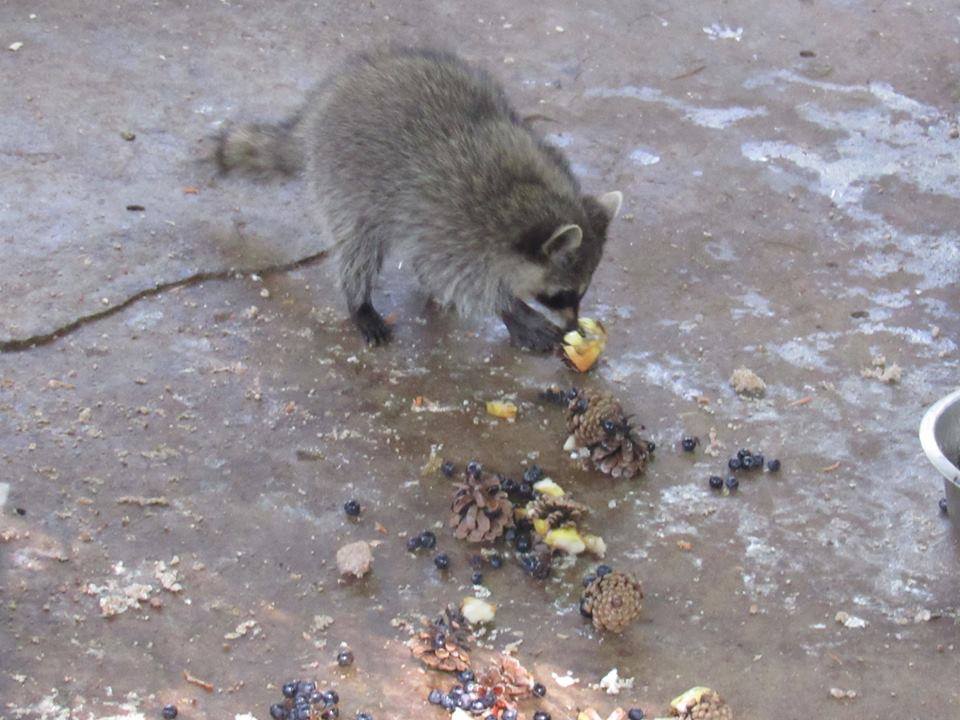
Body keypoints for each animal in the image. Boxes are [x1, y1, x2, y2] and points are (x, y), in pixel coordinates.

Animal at [217, 46, 624, 350]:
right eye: (562, 295)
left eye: (580, 293)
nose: (575, 326)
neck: (528, 194)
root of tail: (326, 99)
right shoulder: (454, 222)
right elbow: (458, 277)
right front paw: (512, 310)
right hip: (345, 177)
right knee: (359, 245)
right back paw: (359, 300)